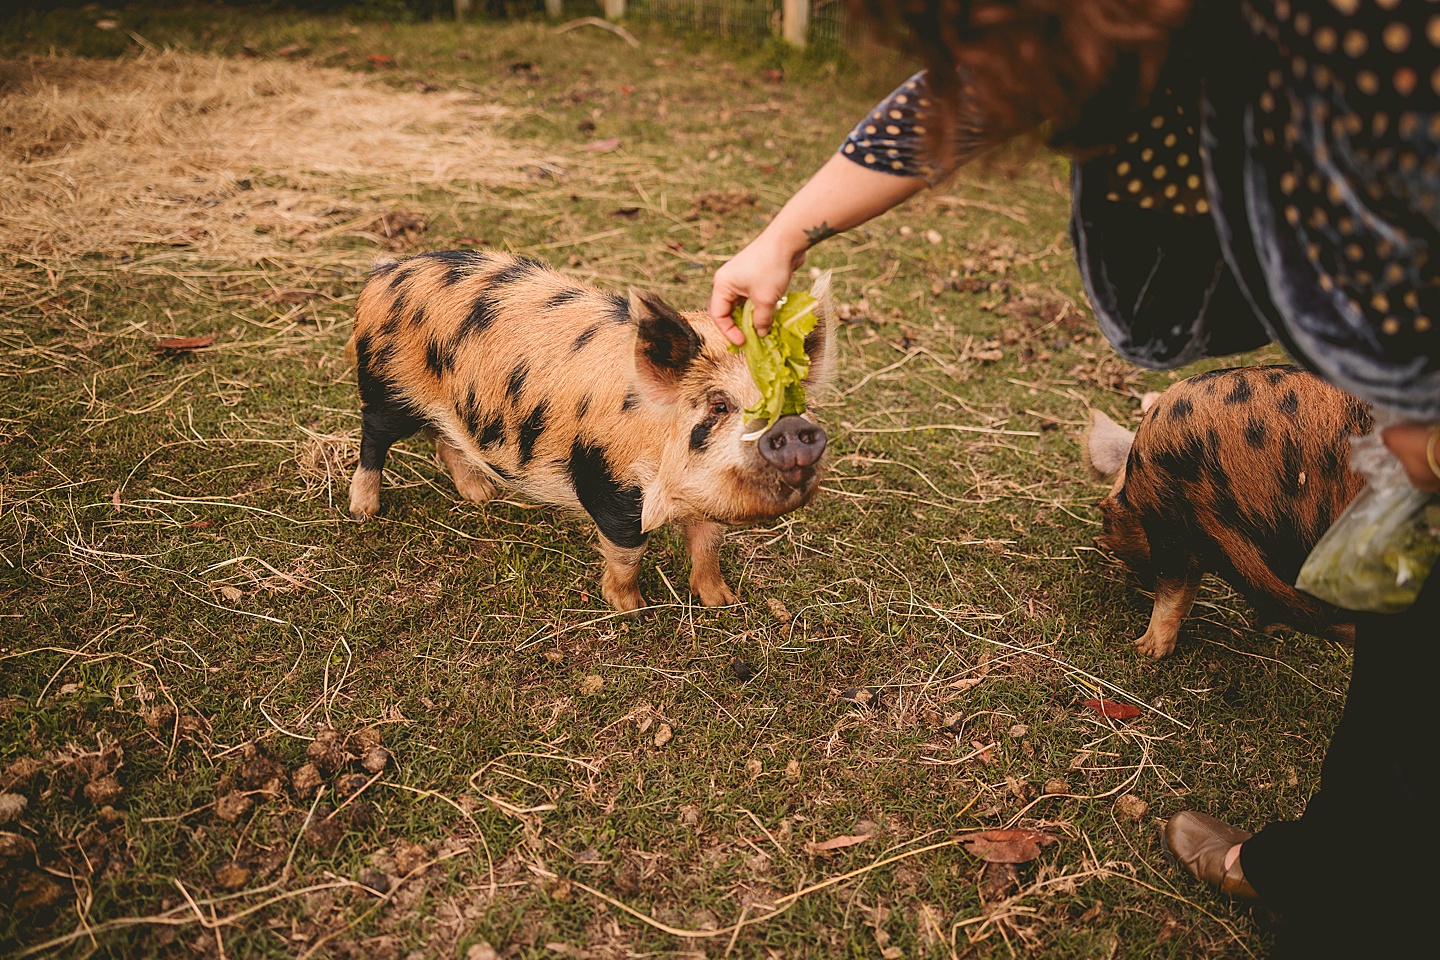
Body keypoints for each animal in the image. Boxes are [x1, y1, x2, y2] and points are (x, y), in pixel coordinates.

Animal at [344, 251, 840, 613]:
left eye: (793, 400)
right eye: (719, 405)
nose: (793, 427)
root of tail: (385, 275)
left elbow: (707, 544)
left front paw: (724, 602)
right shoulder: (609, 484)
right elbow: (628, 552)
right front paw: (632, 608)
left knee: (443, 436)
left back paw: (481, 495)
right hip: (387, 385)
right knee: (374, 437)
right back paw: (364, 511)